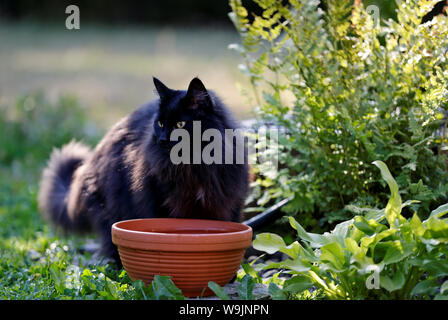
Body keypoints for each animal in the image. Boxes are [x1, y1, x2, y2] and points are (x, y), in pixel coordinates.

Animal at [38, 77, 250, 262]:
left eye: (180, 124)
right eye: (161, 123)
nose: (162, 139)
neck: (193, 166)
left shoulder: (227, 203)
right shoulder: (159, 201)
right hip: (111, 208)